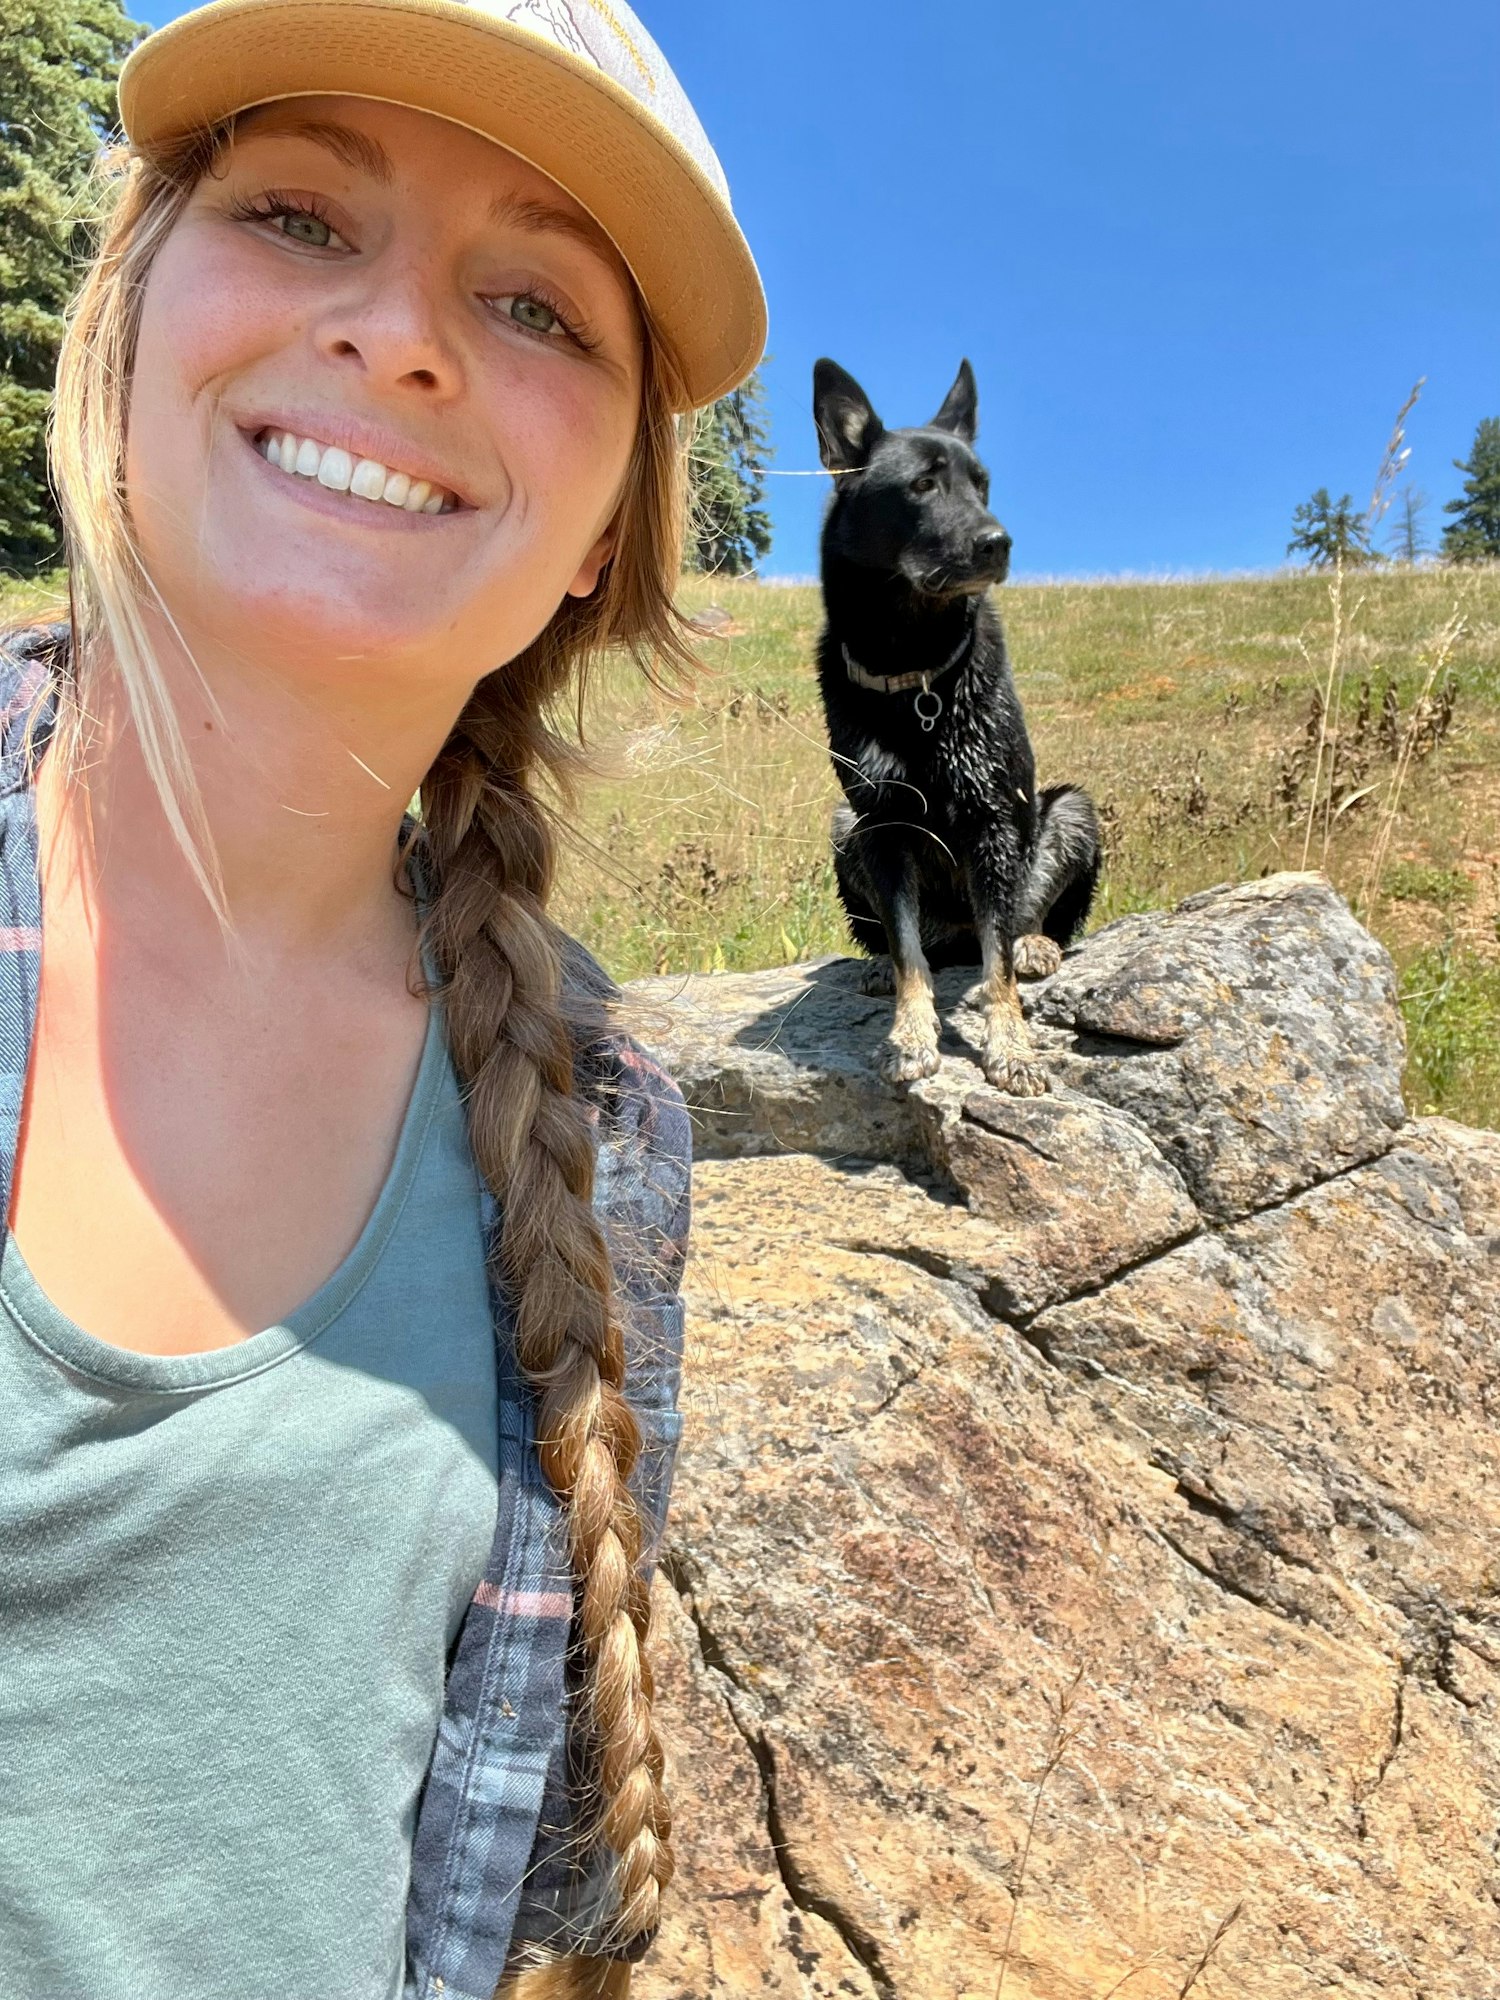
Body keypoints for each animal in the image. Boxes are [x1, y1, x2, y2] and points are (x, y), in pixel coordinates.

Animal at [812, 352, 1104, 1088]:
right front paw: (911, 1034)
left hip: (1070, 810)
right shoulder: (882, 822)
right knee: (924, 944)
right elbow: (908, 950)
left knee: (1013, 928)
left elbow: (997, 964)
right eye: (922, 486)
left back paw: (1035, 945)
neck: (914, 668)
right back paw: (879, 965)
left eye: (983, 485)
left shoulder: (993, 819)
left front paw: (1011, 1044)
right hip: (845, 829)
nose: (999, 543)